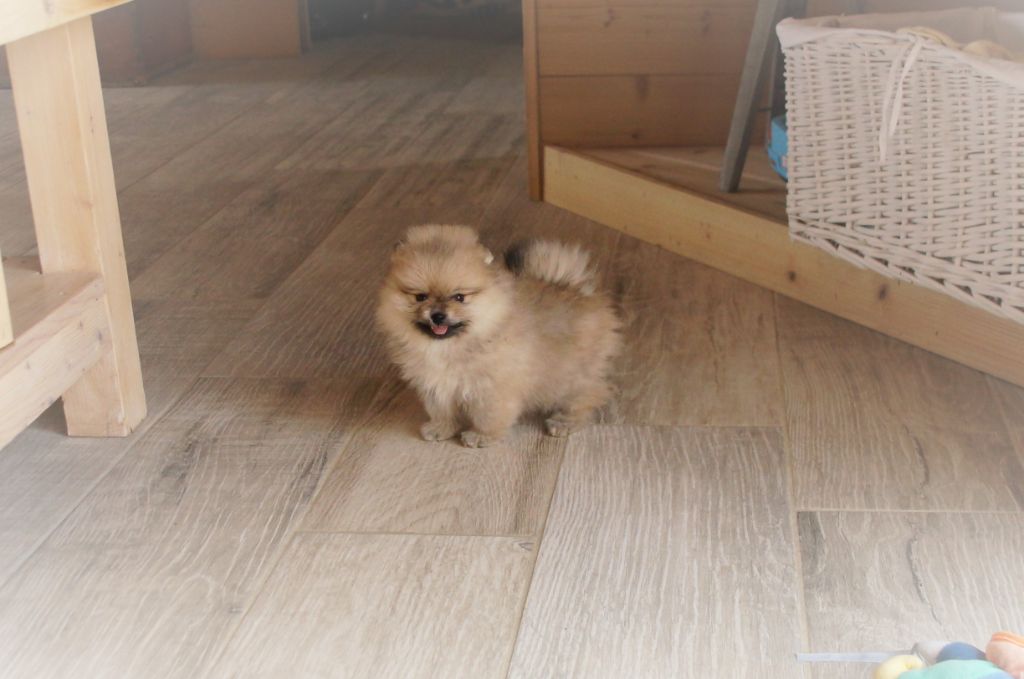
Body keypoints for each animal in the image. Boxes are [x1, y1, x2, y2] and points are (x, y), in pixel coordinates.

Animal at [376, 224, 620, 447]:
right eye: (420, 297)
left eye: (459, 297)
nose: (437, 315)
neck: (451, 346)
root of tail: (576, 290)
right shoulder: (437, 385)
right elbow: (442, 410)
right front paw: (440, 428)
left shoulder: (492, 387)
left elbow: (488, 415)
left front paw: (481, 436)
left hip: (571, 376)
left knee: (590, 394)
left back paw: (565, 421)